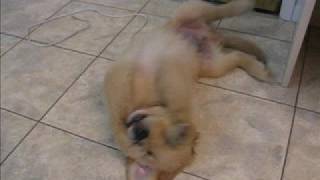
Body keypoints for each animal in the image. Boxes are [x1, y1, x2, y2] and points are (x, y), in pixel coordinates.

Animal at [103, 0, 270, 179]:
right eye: (148, 153)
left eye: (165, 137)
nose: (141, 132)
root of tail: (213, 35)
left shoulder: (171, 76)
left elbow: (179, 104)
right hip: (213, 64)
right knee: (237, 54)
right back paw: (259, 68)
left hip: (193, 14)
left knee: (224, 11)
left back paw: (245, 6)